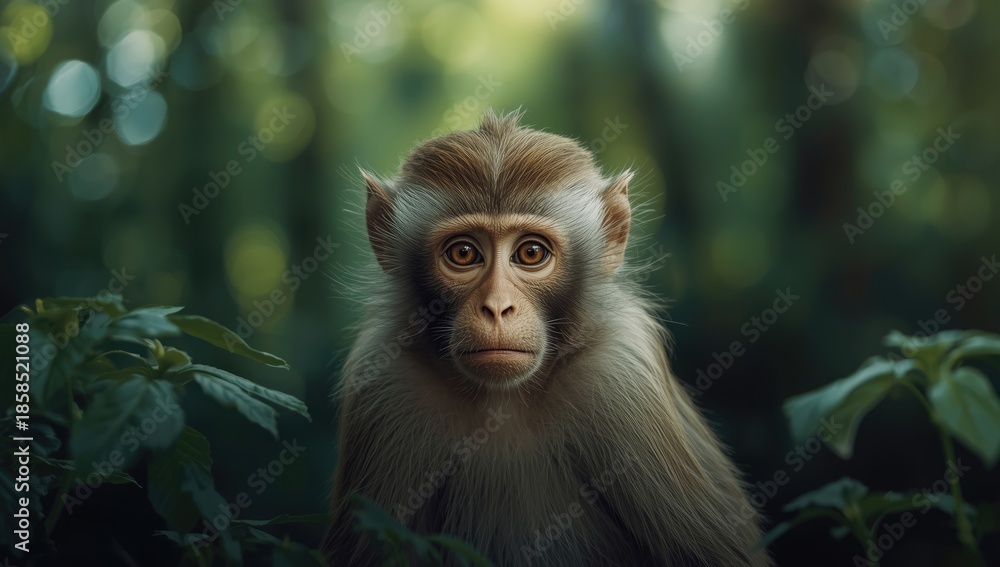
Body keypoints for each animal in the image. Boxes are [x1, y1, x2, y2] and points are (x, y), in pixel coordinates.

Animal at [324, 109, 773, 567]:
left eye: (531, 253)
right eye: (463, 253)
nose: (497, 307)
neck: (501, 402)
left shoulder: (621, 375)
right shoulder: (384, 382)